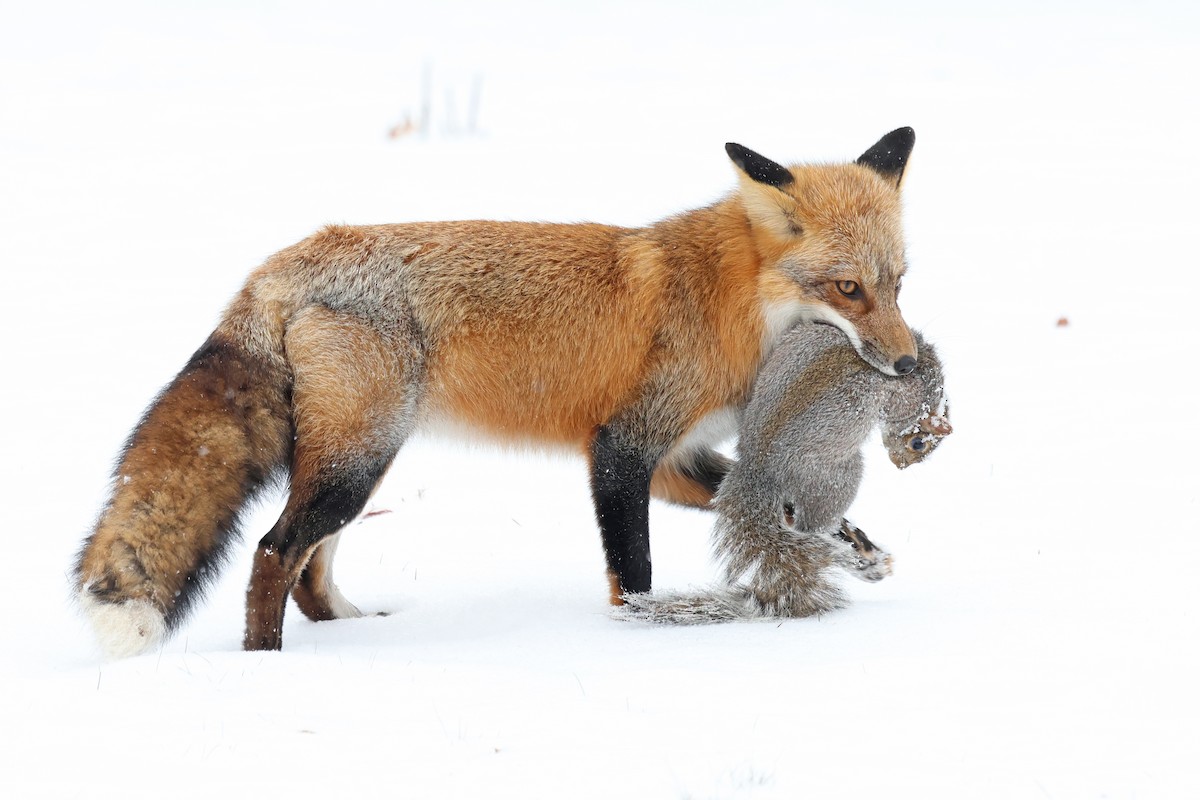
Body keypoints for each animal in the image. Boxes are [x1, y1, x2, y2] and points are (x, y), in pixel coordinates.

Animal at [619, 325, 951, 624]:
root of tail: (758, 468)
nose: (900, 465)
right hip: (834, 479)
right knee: (812, 523)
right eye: (918, 444)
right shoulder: (901, 397)